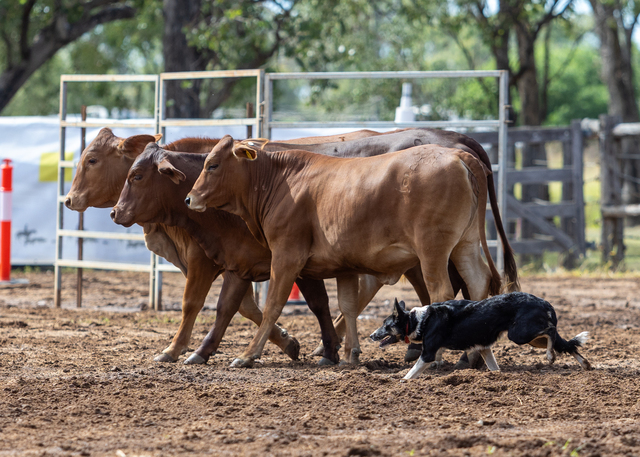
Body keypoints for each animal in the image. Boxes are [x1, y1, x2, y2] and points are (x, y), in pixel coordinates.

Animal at [185, 136, 502, 368]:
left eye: (212, 165)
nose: (189, 198)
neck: (283, 180)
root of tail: (459, 156)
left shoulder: (286, 256)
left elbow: (274, 305)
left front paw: (248, 355)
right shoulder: (345, 266)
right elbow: (348, 305)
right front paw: (351, 354)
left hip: (432, 251)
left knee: (441, 293)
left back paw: (435, 358)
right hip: (465, 244)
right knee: (477, 283)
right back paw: (475, 355)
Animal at [370, 292, 592, 380]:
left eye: (386, 326)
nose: (371, 336)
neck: (419, 320)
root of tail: (544, 302)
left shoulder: (428, 354)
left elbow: (411, 373)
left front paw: (401, 383)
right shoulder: (484, 348)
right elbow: (495, 369)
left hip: (519, 334)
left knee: (550, 332)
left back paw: (550, 356)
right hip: (528, 337)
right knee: (568, 344)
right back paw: (585, 364)